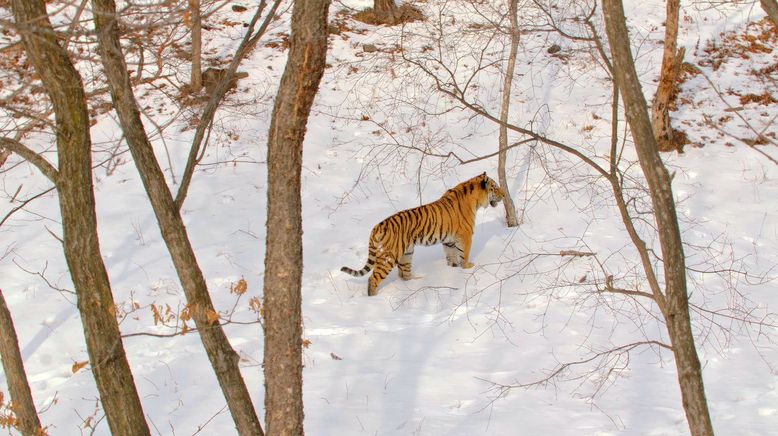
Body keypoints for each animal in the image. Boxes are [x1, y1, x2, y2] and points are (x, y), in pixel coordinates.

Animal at [340, 173, 504, 296]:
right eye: (495, 188)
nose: (503, 194)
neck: (475, 200)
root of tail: (377, 226)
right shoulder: (465, 236)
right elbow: (464, 254)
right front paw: (468, 267)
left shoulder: (449, 240)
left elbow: (451, 256)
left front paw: (453, 268)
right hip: (389, 256)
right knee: (373, 279)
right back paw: (374, 297)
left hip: (407, 252)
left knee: (403, 274)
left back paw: (417, 281)